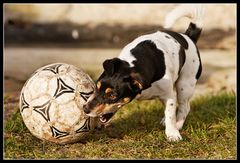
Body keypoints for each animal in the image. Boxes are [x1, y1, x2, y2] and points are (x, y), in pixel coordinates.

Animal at [83, 4, 204, 141]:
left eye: (112, 95)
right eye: (96, 87)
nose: (85, 109)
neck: (133, 65)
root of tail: (188, 37)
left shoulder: (169, 96)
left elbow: (170, 114)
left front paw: (172, 133)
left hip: (185, 84)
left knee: (184, 107)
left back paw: (177, 124)